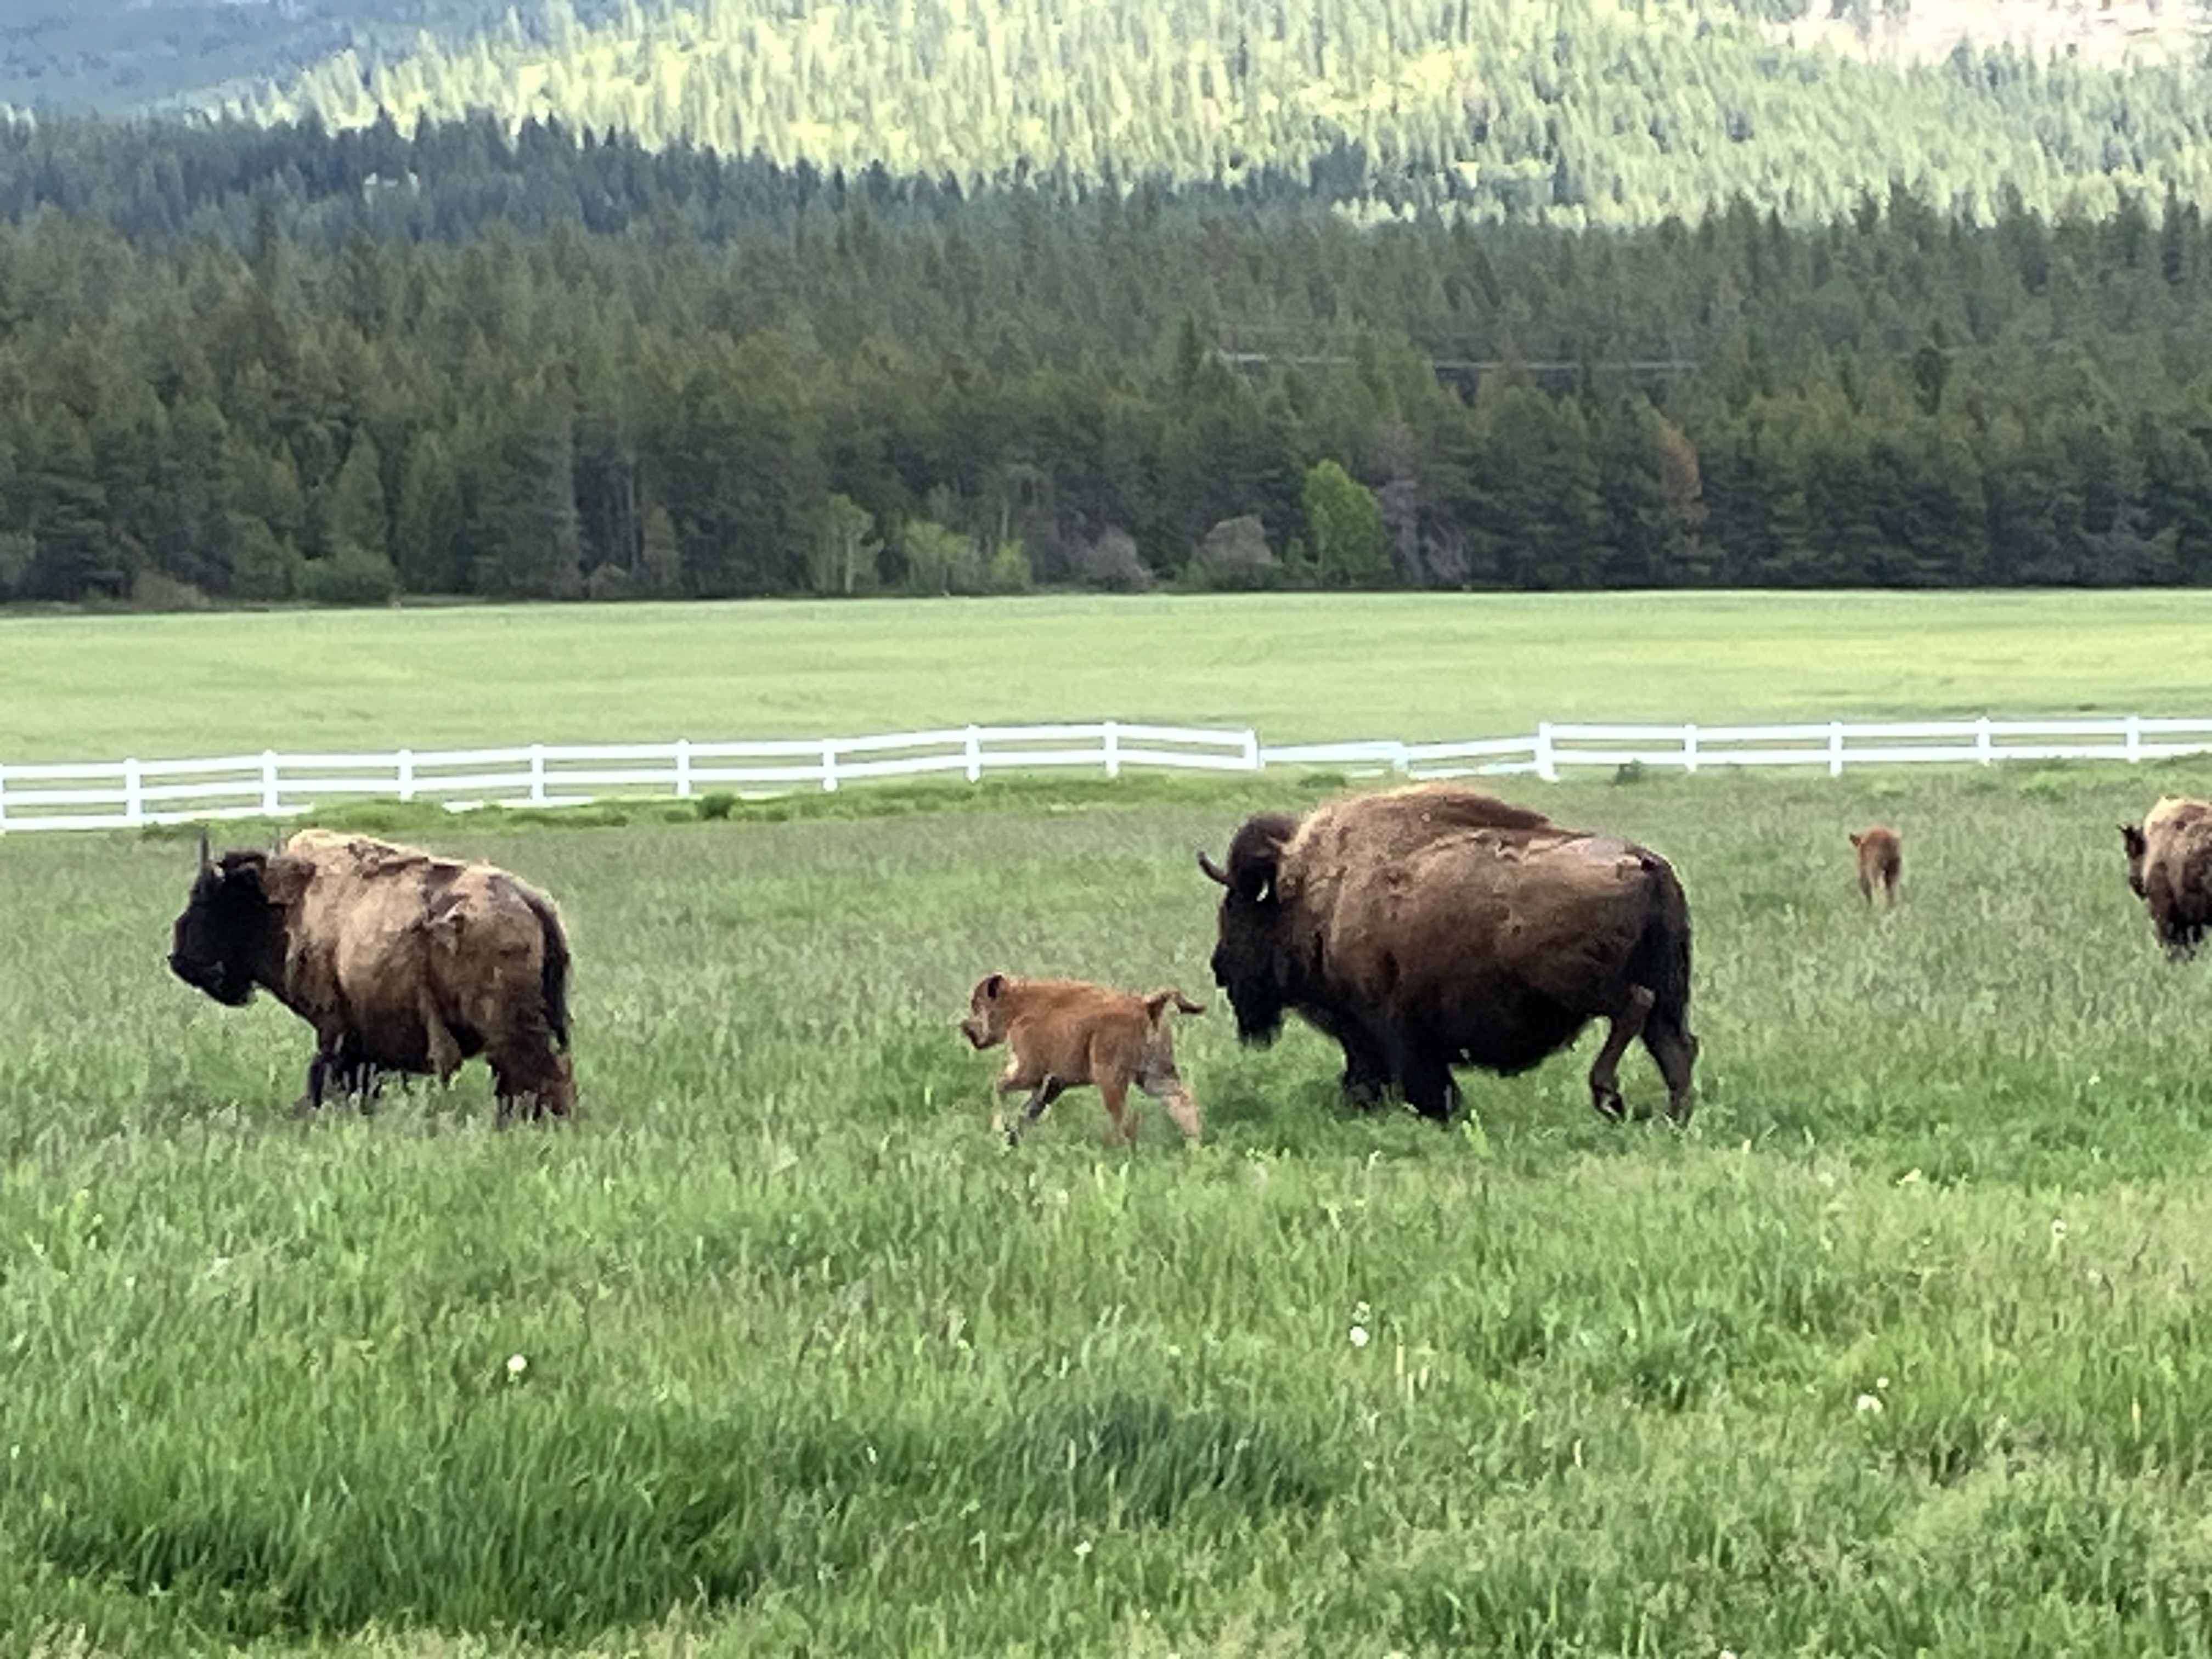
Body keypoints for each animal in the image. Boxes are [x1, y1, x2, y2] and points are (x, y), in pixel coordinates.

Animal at [169, 828, 575, 1119]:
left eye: (205, 900)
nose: (179, 960)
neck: (283, 907)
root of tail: (529, 899)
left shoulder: (334, 1027)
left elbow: (327, 1075)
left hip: (506, 1026)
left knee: (532, 1074)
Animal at [1198, 784, 1697, 1124]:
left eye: (1239, 911)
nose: (1219, 968)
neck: (1310, 896)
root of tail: (1645, 864)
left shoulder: (1382, 1028)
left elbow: (1411, 1078)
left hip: (1579, 984)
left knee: (1634, 1007)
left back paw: (1608, 1096)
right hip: (1665, 989)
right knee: (1675, 1045)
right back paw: (1674, 1116)